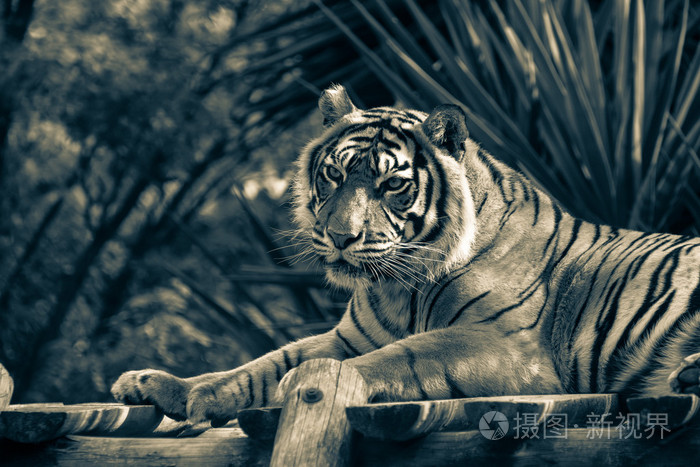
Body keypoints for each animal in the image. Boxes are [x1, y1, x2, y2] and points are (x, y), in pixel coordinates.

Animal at [110, 85, 700, 428]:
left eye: (392, 184)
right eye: (333, 174)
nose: (339, 237)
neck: (398, 287)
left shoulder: (511, 346)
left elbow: (408, 354)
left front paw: (297, 388)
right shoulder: (347, 336)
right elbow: (265, 360)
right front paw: (168, 387)